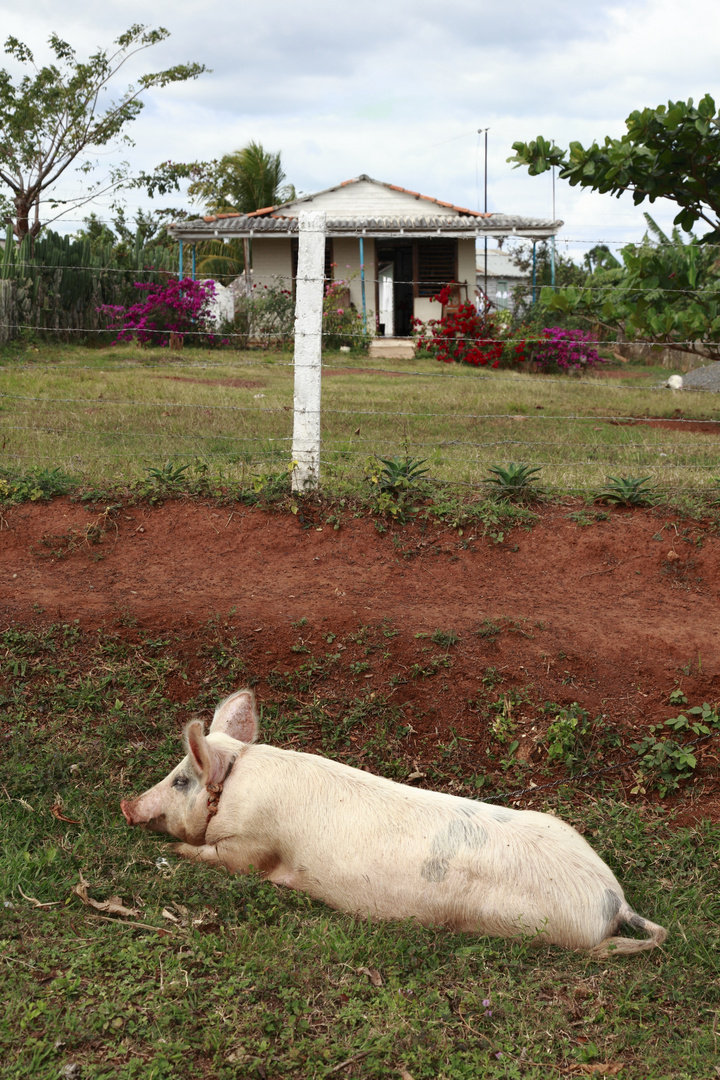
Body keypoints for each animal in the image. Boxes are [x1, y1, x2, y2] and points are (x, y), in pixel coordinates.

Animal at [120, 686, 669, 959]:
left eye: (180, 780)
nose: (126, 804)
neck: (234, 785)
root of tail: (613, 899)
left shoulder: (251, 846)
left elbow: (219, 859)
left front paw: (171, 852)